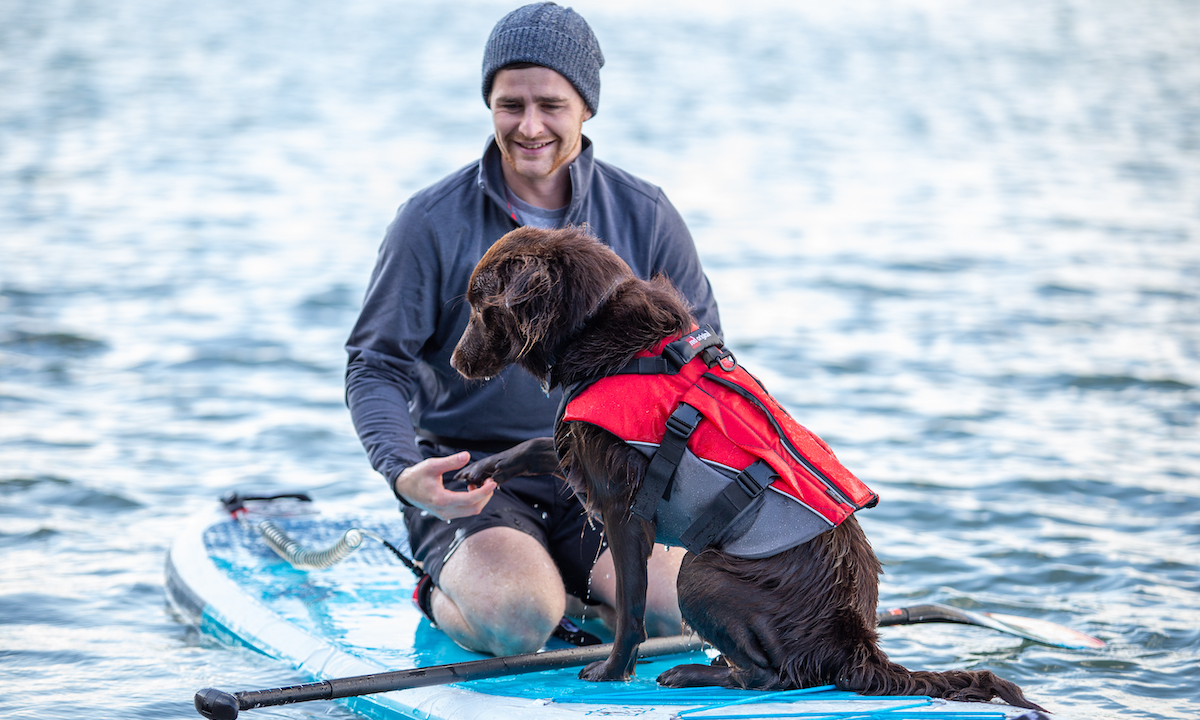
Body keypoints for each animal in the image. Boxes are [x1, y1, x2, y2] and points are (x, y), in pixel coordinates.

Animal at [451, 228, 1041, 710]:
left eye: (481, 306)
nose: (455, 362)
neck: (596, 325)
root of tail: (856, 646)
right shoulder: (587, 457)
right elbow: (535, 446)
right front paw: (476, 473)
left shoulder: (624, 507)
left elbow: (633, 611)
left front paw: (613, 672)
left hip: (699, 573)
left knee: (772, 677)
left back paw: (693, 672)